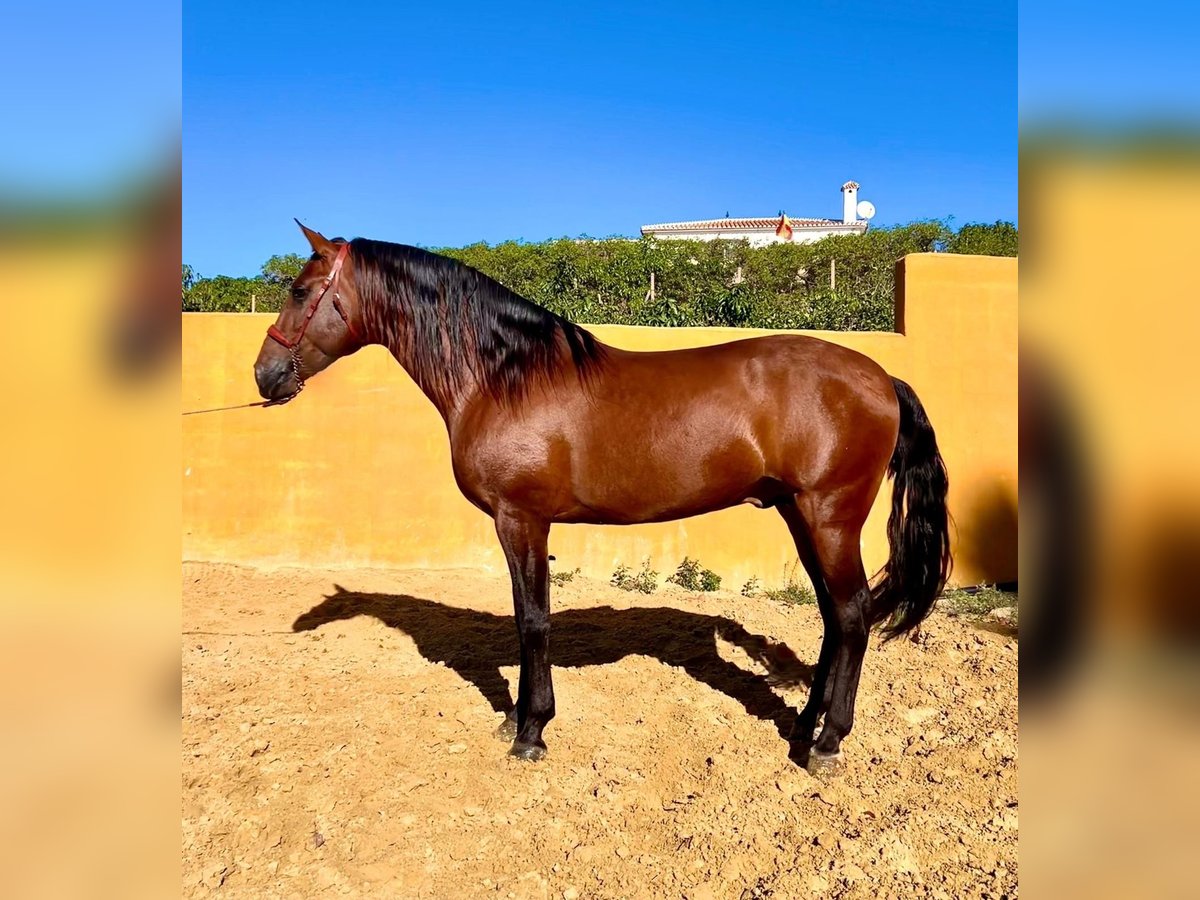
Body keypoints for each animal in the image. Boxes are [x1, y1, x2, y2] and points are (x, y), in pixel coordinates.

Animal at [253, 222, 945, 772]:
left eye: (299, 291)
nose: (264, 375)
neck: (503, 378)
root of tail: (881, 378)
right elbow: (525, 617)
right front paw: (518, 720)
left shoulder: (521, 520)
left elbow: (533, 620)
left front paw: (530, 731)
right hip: (801, 516)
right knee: (833, 617)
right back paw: (803, 726)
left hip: (829, 516)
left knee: (852, 616)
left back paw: (827, 743)